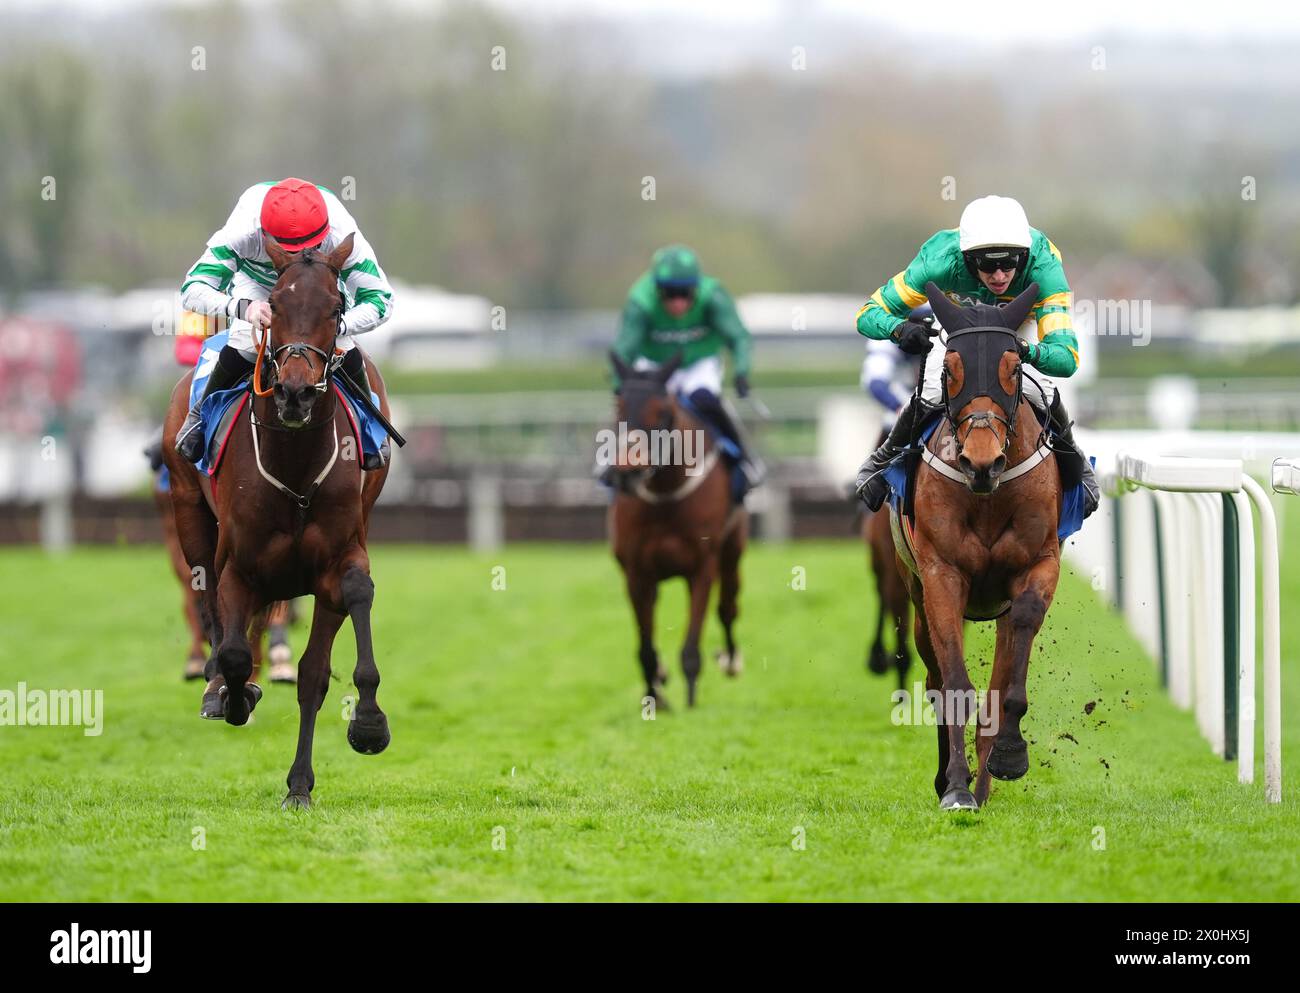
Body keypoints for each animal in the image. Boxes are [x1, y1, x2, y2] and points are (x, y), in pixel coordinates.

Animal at [160, 232, 390, 805]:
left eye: (336, 309)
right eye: (279, 307)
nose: (294, 392)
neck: (296, 461)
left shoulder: (339, 560)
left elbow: (321, 666)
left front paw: (361, 731)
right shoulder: (240, 567)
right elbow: (235, 650)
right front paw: (232, 694)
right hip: (187, 511)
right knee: (206, 598)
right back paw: (218, 687)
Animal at [603, 353, 748, 712]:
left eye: (663, 411)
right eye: (619, 405)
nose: (627, 470)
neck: (665, 493)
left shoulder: (702, 567)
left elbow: (691, 648)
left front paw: (691, 706)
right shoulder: (636, 573)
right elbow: (645, 649)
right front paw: (655, 696)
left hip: (732, 551)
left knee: (728, 608)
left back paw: (731, 659)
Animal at [899, 276, 1060, 805]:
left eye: (1014, 367)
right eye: (950, 370)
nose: (982, 462)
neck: (988, 495)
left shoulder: (1039, 565)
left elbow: (1004, 681)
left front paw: (1009, 755)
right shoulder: (940, 575)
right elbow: (953, 685)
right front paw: (955, 787)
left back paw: (988, 776)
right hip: (915, 597)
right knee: (933, 676)